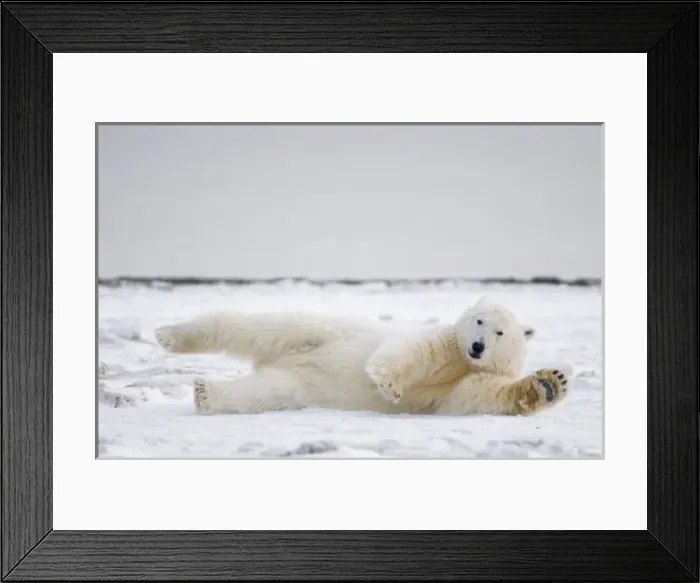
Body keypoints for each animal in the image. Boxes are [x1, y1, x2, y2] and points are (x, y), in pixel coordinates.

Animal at [154, 297, 569, 416]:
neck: (464, 361)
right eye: (478, 320)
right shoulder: (448, 343)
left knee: (266, 391)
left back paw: (206, 394)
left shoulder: (473, 376)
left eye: (500, 333)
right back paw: (169, 335)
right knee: (256, 326)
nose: (477, 346)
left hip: (300, 386)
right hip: (316, 332)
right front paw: (389, 386)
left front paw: (551, 383)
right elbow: (413, 350)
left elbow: (476, 395)